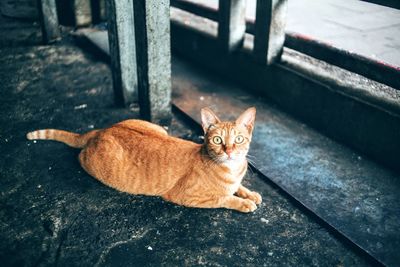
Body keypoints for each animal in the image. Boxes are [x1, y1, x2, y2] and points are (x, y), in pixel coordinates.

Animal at [26, 108, 260, 213]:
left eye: (239, 139)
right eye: (217, 139)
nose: (229, 151)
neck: (232, 169)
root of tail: (103, 130)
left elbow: (239, 187)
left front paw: (250, 193)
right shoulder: (187, 196)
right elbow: (224, 198)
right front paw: (243, 202)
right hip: (89, 162)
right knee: (79, 156)